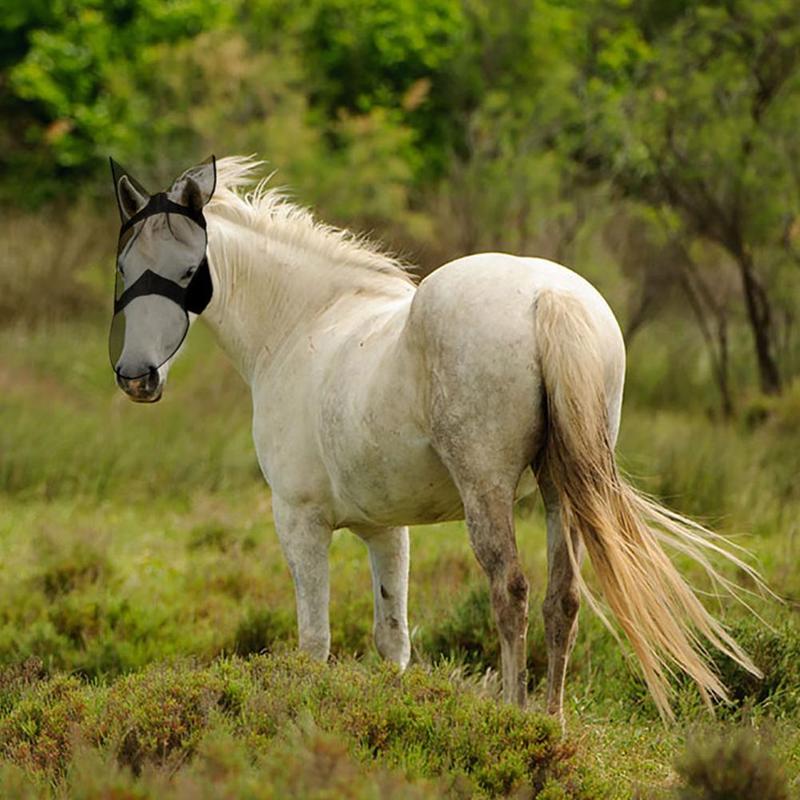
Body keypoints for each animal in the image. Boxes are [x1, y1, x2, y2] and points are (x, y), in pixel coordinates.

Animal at [109, 155, 762, 726]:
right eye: (124, 268)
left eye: (187, 272)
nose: (137, 378)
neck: (302, 324)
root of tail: (549, 297)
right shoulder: (385, 530)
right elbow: (391, 639)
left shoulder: (299, 520)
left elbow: (314, 642)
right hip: (564, 491)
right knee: (564, 598)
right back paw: (552, 726)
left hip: (487, 490)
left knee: (511, 590)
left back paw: (515, 717)